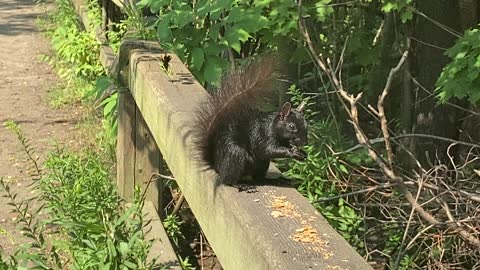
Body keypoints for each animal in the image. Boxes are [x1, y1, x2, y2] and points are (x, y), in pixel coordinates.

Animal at [194, 56, 308, 187]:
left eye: (307, 124)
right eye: (291, 126)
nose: (304, 142)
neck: (272, 127)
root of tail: (216, 165)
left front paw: (302, 153)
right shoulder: (263, 135)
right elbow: (268, 149)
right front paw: (291, 152)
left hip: (262, 164)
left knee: (258, 178)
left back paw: (273, 180)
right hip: (235, 153)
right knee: (227, 180)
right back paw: (240, 185)